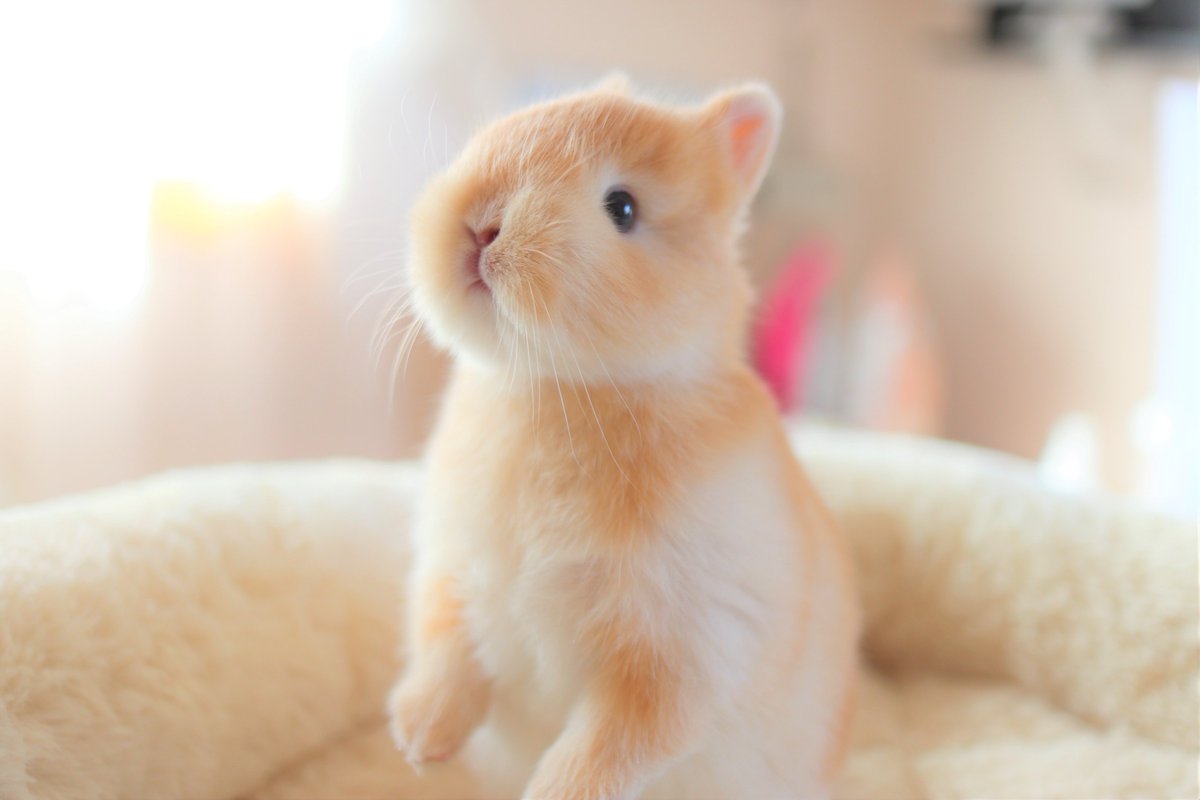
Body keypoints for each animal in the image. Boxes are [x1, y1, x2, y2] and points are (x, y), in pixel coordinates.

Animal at [386, 76, 860, 800]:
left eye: (624, 208)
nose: (480, 225)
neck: (558, 389)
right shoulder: (452, 573)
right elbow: (446, 654)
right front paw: (420, 737)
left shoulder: (681, 653)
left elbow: (612, 744)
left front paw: (550, 793)